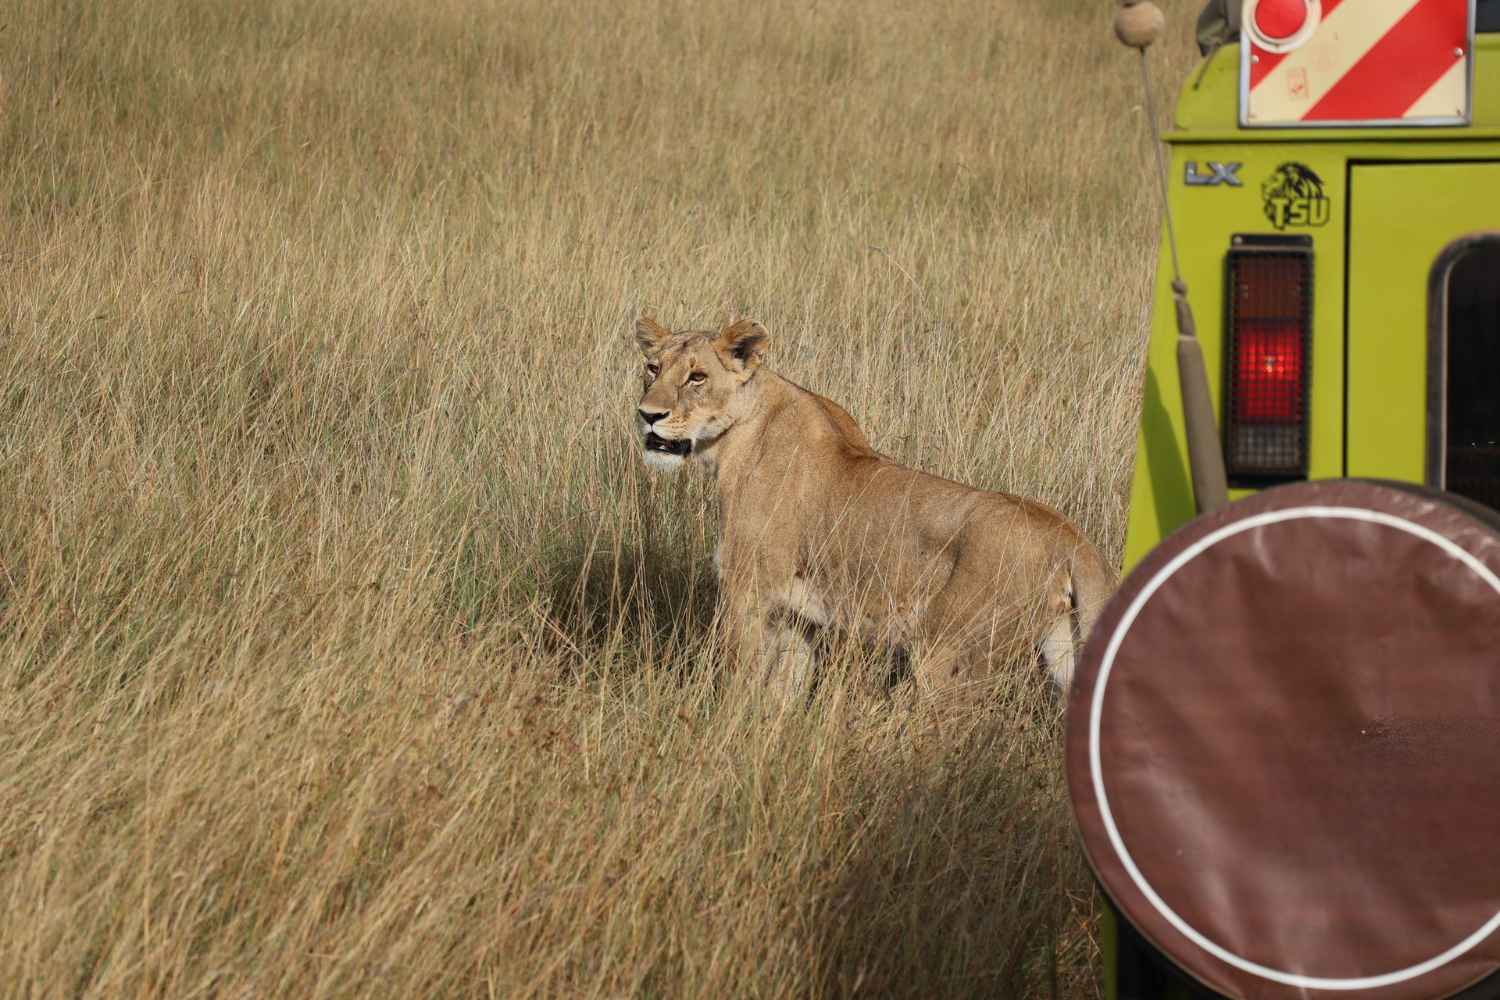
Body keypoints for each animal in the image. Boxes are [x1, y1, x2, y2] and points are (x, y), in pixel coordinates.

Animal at [633, 315, 1116, 702]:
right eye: (652, 368)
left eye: (697, 377)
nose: (648, 415)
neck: (730, 441)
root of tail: (1071, 537)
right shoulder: (796, 616)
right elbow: (782, 692)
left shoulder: (748, 591)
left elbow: (740, 679)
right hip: (1066, 651)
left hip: (947, 654)